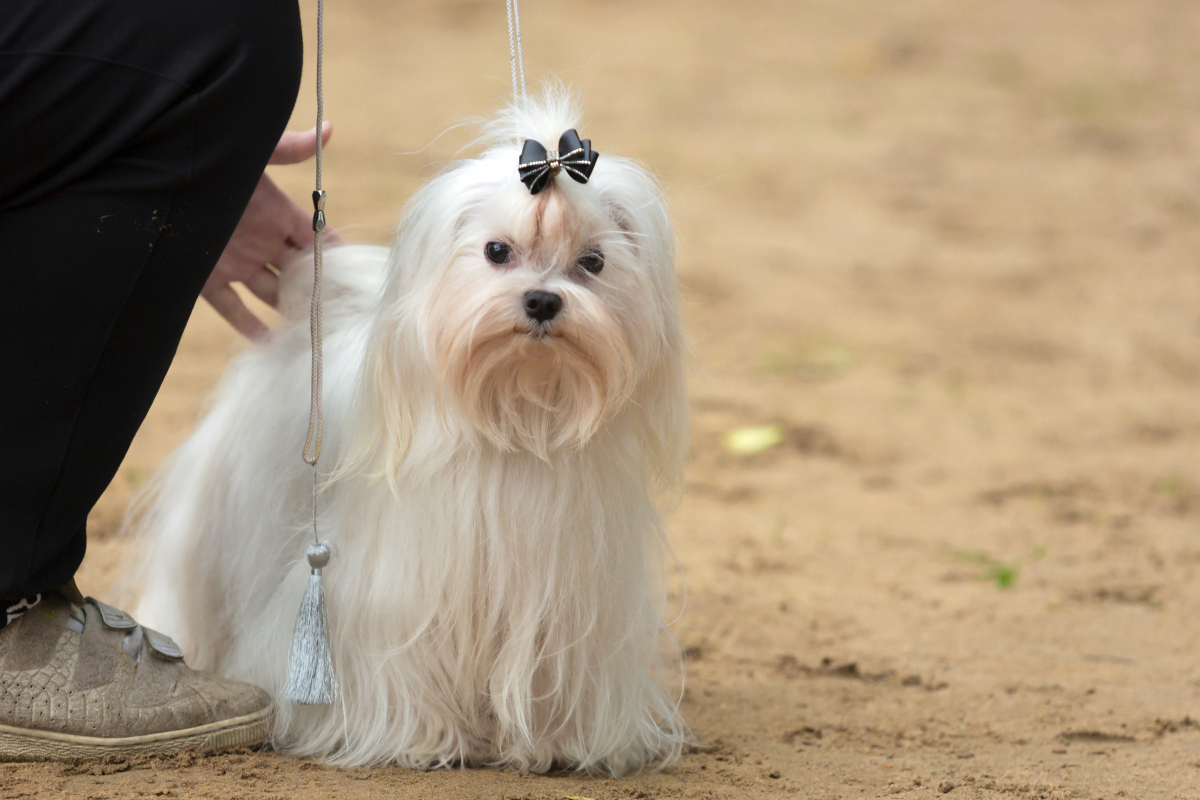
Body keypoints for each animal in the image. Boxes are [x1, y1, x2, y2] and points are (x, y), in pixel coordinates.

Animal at [132, 92, 691, 777]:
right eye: (497, 251)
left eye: (594, 263)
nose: (542, 301)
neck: (515, 408)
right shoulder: (389, 594)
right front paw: (422, 741)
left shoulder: (567, 602)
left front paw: (556, 743)